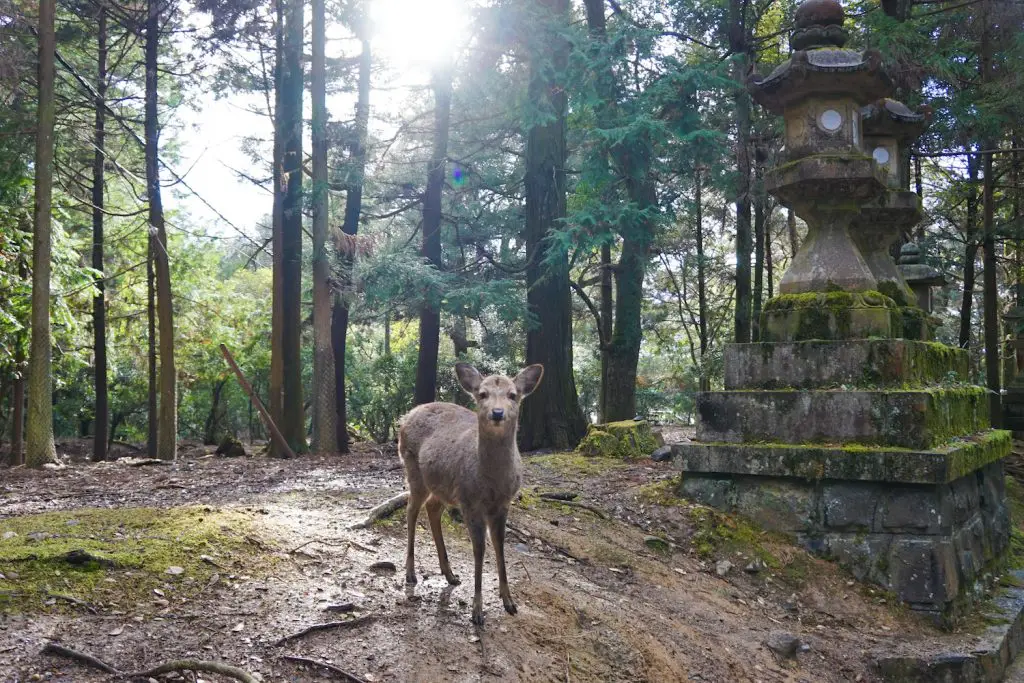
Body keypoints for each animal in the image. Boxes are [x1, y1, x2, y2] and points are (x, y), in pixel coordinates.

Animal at [397, 362, 544, 626]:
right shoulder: (469, 501)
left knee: (432, 509)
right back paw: (411, 573)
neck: (492, 482)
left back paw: (450, 573)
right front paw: (477, 611)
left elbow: (499, 544)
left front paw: (509, 601)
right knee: (412, 510)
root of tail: (405, 417)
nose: (497, 413)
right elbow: (479, 549)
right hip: (414, 471)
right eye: (482, 394)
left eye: (512, 395)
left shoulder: (503, 504)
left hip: (442, 486)